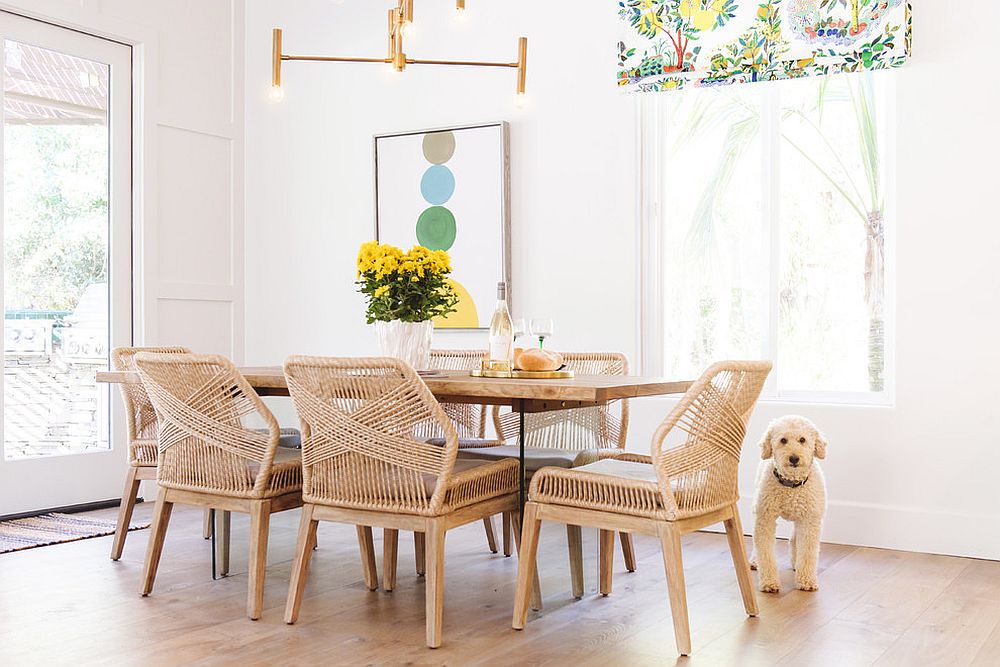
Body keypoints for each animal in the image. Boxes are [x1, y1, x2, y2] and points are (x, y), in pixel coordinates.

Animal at [752, 414, 828, 592]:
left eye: (802, 440)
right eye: (783, 440)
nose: (794, 458)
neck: (790, 485)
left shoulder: (809, 521)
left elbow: (807, 552)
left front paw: (806, 580)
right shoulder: (765, 518)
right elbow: (764, 551)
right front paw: (769, 582)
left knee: (794, 538)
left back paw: (795, 562)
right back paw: (754, 561)